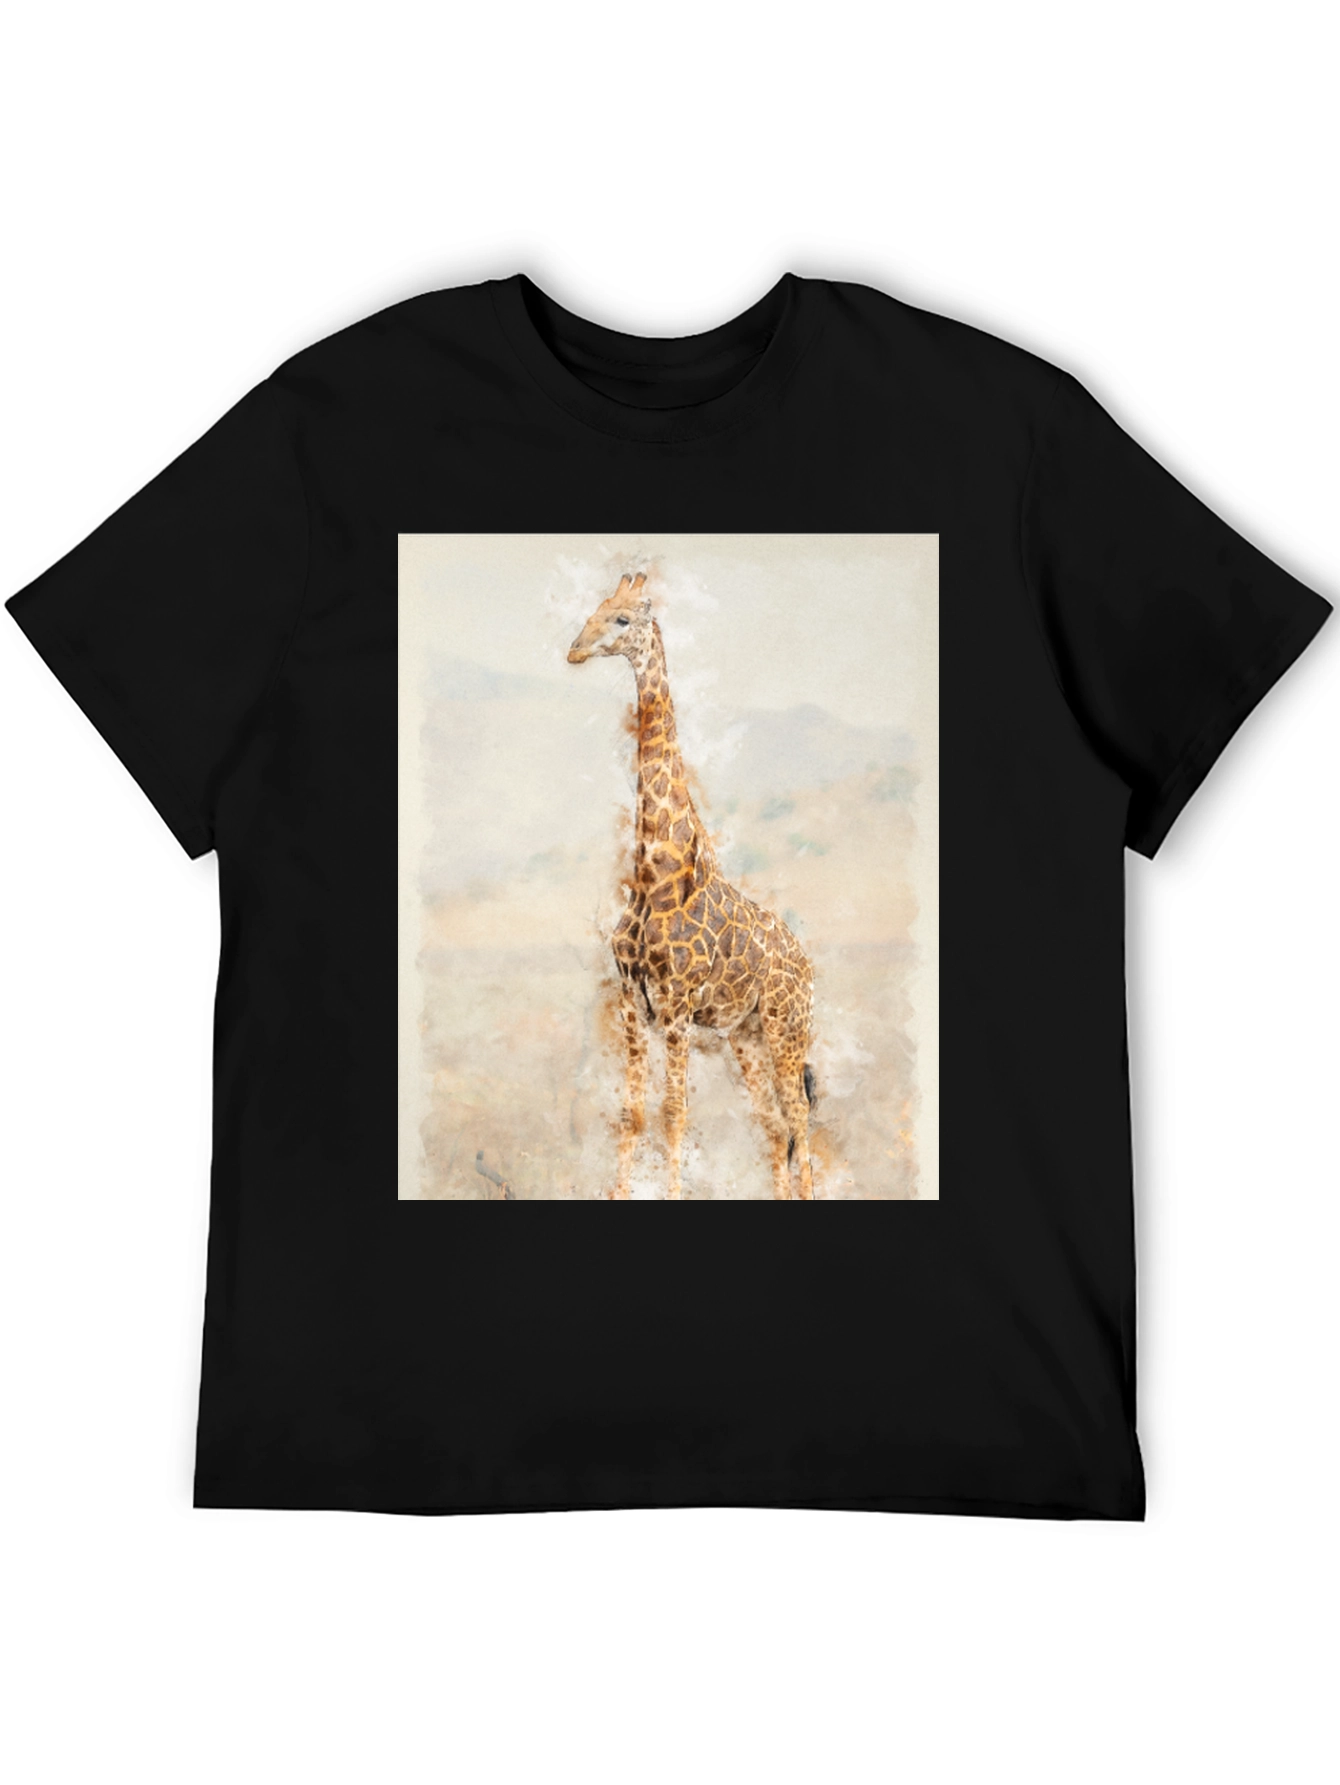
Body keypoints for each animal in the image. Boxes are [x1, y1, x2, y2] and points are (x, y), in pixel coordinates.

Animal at [567, 572, 817, 1201]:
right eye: (595, 609)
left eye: (623, 618)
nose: (575, 649)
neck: (654, 877)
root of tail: (807, 966)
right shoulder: (632, 1000)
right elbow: (633, 1113)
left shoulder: (677, 1004)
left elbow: (674, 1112)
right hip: (745, 1034)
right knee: (775, 1126)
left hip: (787, 1025)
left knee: (800, 1120)